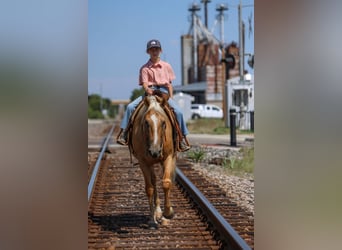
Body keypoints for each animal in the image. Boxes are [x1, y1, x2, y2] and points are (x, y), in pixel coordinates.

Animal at [129, 94, 176, 227]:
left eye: (164, 123)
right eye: (146, 123)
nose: (154, 151)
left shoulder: (169, 157)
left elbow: (166, 183)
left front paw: (168, 212)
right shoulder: (143, 162)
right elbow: (149, 188)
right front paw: (152, 219)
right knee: (153, 181)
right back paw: (157, 212)